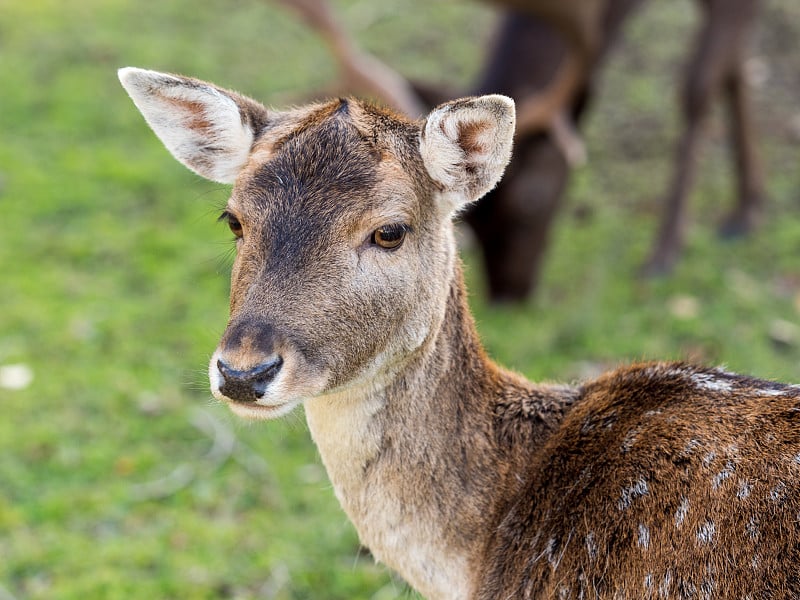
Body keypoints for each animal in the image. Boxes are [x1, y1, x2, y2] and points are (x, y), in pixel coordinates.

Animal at [276, 0, 768, 300]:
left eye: (534, 200)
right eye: (467, 219)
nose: (510, 295)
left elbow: (702, 84)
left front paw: (665, 251)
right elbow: (734, 68)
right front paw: (748, 206)